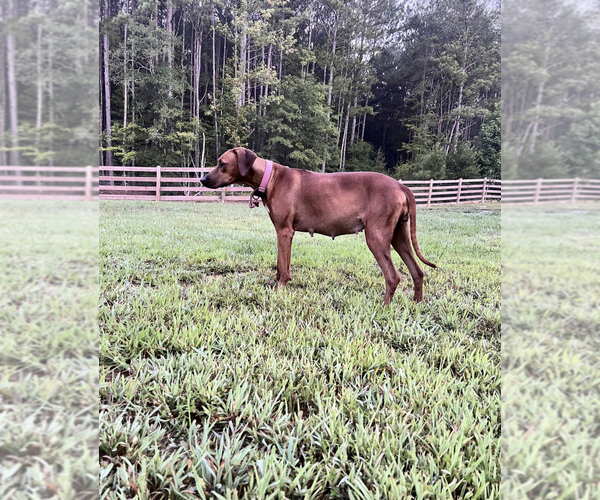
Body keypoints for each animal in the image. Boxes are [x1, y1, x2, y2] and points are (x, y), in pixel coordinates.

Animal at [202, 147, 436, 304]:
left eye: (221, 163)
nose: (203, 180)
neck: (269, 178)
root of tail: (401, 186)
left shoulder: (285, 232)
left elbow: (284, 266)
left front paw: (280, 289)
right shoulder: (281, 232)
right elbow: (279, 263)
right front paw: (274, 284)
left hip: (376, 237)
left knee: (393, 276)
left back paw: (384, 306)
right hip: (399, 236)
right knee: (417, 272)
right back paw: (416, 303)